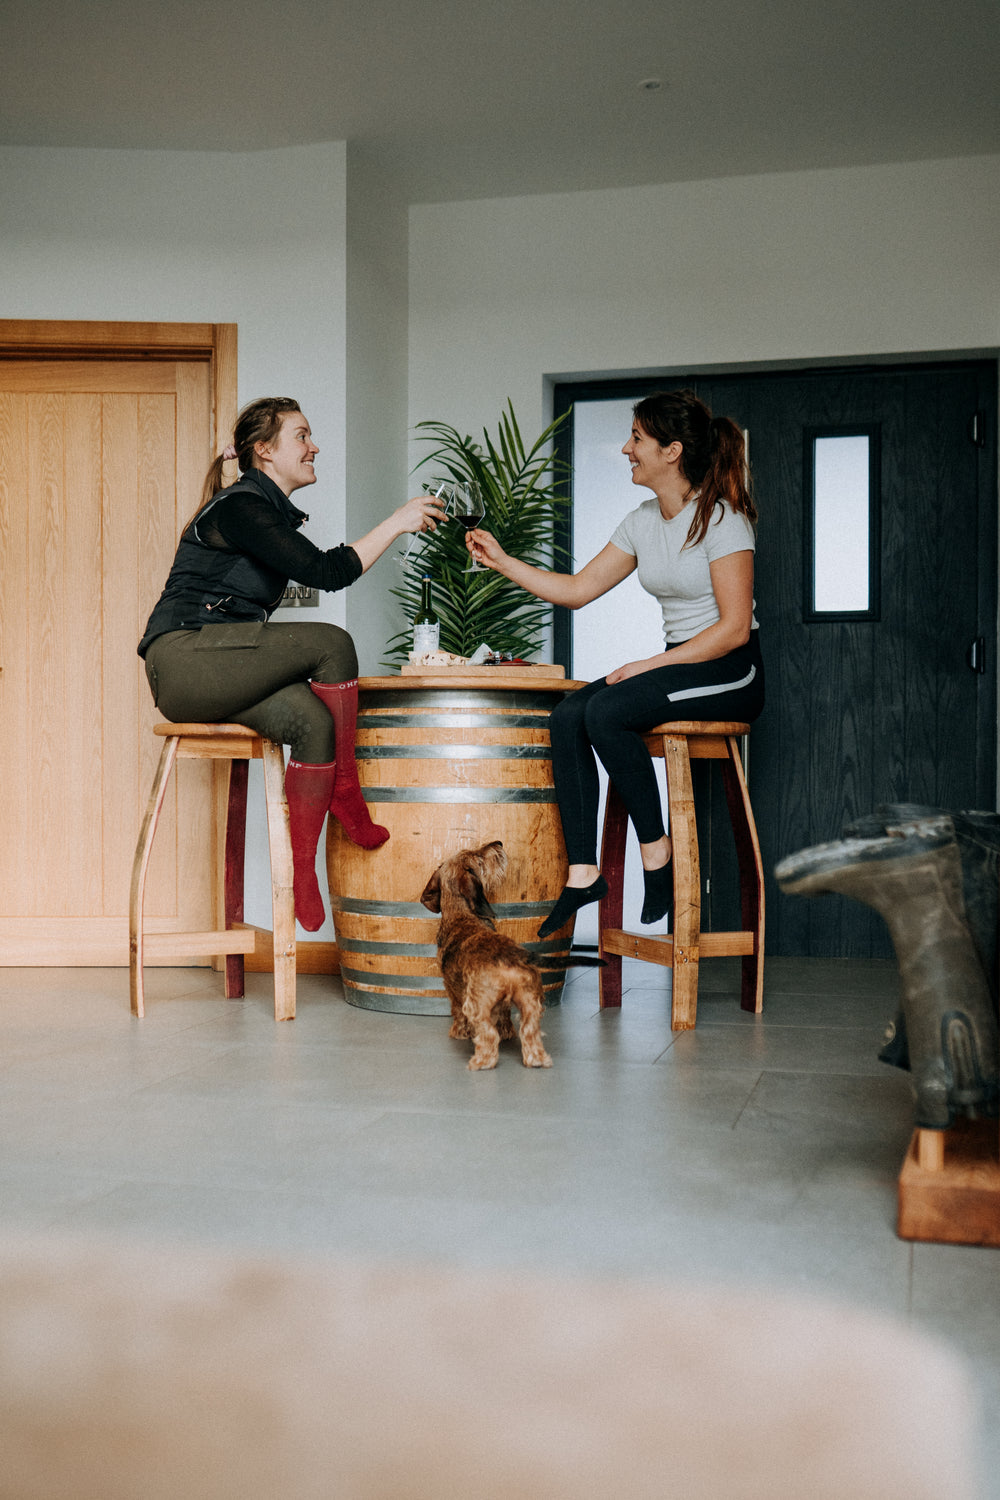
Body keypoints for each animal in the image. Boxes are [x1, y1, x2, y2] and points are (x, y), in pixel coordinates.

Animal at [419, 840, 551, 1074]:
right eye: (477, 857)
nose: (498, 843)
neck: (462, 915)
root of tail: (508, 958)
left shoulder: (452, 990)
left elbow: (457, 1012)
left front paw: (458, 1032)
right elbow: (505, 1021)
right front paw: (507, 1033)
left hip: (477, 1006)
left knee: (488, 1035)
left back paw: (481, 1062)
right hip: (531, 1003)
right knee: (530, 1033)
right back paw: (536, 1059)